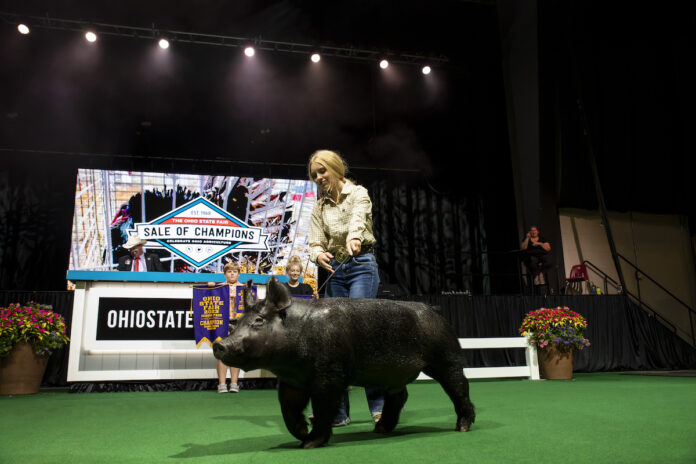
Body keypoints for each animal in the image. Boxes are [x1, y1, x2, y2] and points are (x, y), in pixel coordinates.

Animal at [213, 277, 475, 449]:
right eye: (236, 322)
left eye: (258, 320)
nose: (219, 344)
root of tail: (433, 310)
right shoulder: (292, 381)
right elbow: (287, 409)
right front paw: (301, 433)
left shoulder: (330, 374)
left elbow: (322, 407)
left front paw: (309, 443)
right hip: (393, 374)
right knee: (399, 395)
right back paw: (379, 430)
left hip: (447, 356)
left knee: (459, 386)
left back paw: (462, 427)